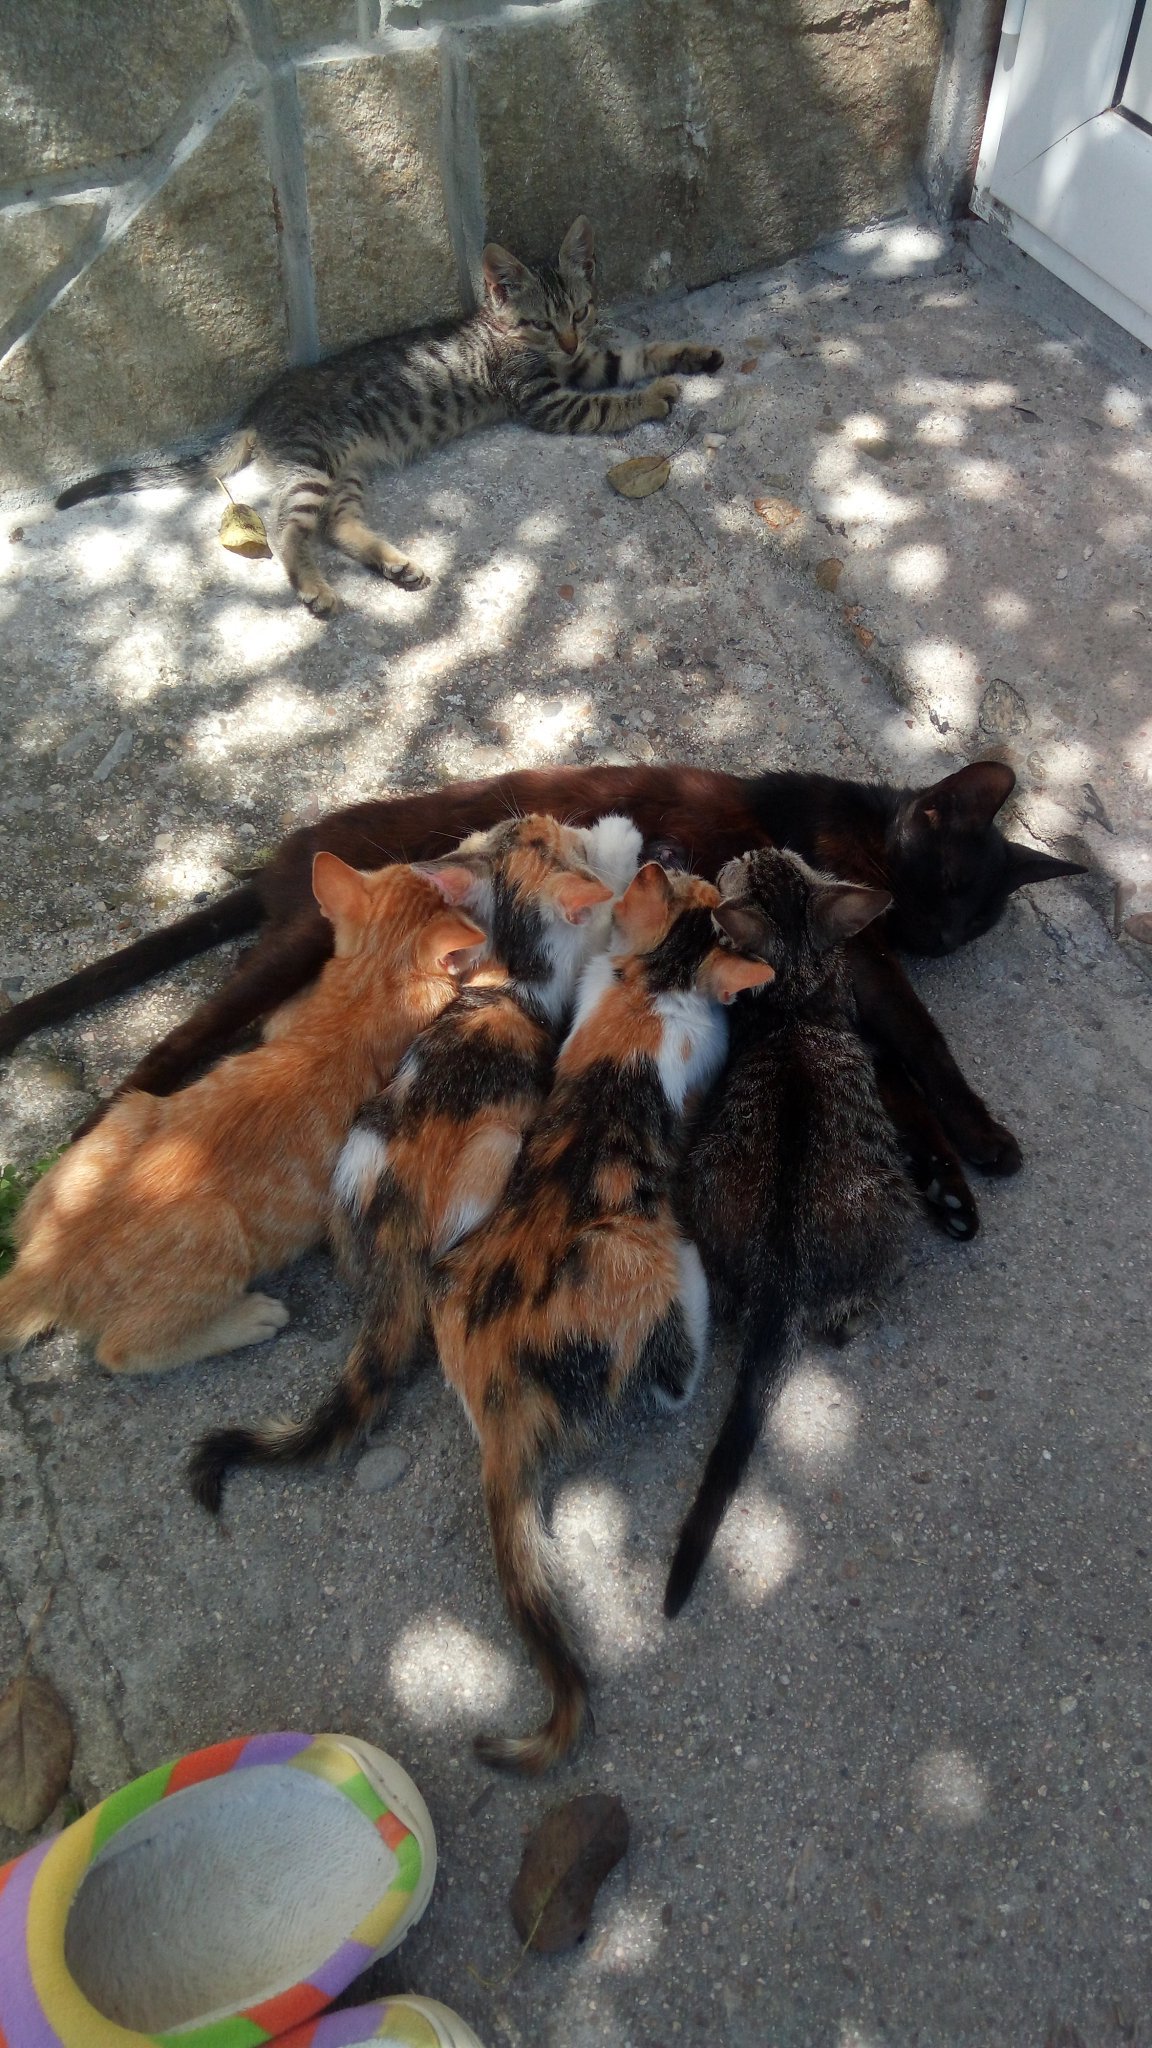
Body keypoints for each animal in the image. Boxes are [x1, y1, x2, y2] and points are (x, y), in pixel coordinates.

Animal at [0, 759, 1085, 1238]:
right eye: (945, 885)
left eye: (972, 921)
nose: (935, 932)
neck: (863, 817)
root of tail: (284, 861)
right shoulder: (864, 959)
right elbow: (921, 1047)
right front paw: (982, 1140)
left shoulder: (845, 969)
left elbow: (889, 1074)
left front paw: (944, 1179)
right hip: (291, 949)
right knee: (174, 1045)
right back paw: (92, 1147)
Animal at [0, 858, 486, 1373]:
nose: (435, 869)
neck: (367, 989)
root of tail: (44, 1265)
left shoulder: (286, 1020)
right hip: (214, 1228)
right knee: (123, 1351)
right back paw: (246, 1320)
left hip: (125, 1112)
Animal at [55, 217, 722, 618]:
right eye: (539, 321)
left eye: (580, 313)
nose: (566, 339)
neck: (516, 338)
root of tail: (257, 409)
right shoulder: (546, 399)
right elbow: (612, 402)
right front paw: (653, 398)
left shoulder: (584, 363)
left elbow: (637, 353)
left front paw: (692, 356)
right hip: (313, 463)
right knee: (287, 529)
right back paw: (316, 590)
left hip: (348, 471)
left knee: (335, 525)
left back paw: (395, 564)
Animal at [187, 814, 639, 1510]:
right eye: (552, 840)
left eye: (519, 830)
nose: (540, 816)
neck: (516, 964)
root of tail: (396, 1231)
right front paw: (622, 844)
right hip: (497, 1148)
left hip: (360, 1147)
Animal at [429, 861, 774, 1773]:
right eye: (695, 883)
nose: (680, 856)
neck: (654, 983)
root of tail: (499, 1390)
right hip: (652, 1263)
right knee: (673, 1373)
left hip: (447, 1275)